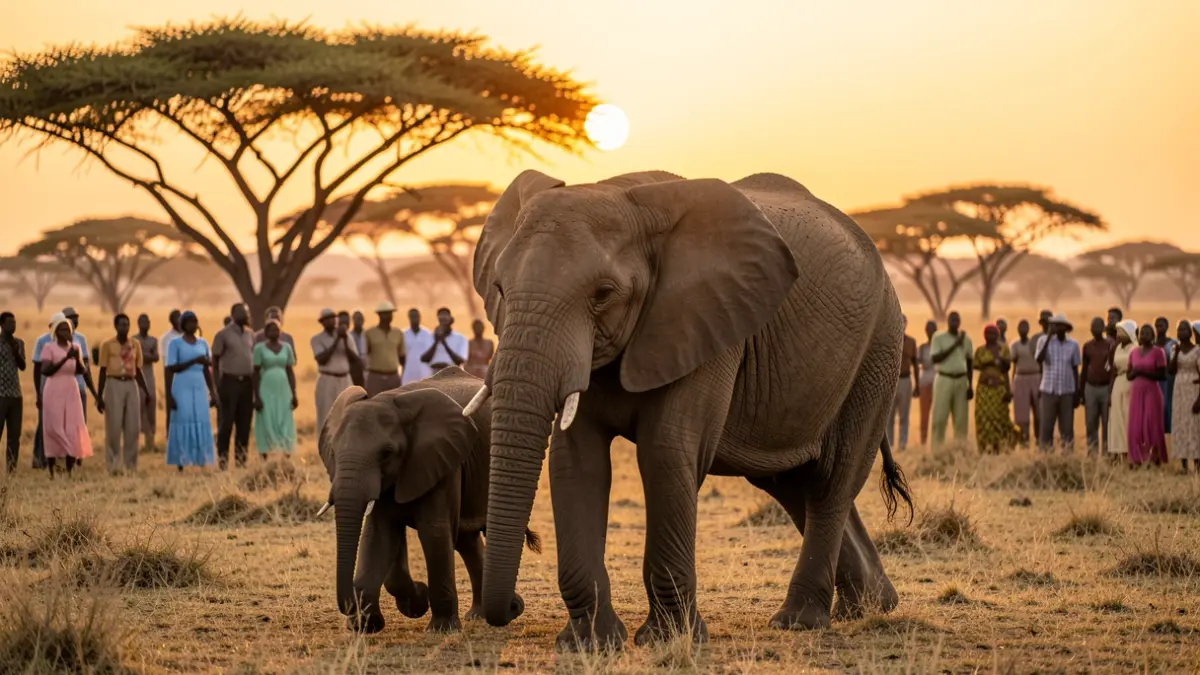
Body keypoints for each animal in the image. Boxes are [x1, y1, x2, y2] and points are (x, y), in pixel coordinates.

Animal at [317, 366, 540, 633]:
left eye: (386, 453)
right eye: (333, 452)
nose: (354, 619)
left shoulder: (442, 462)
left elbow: (434, 531)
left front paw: (440, 628)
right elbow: (379, 535)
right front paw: (374, 623)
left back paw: (501, 610)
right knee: (465, 541)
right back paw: (484, 613)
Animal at [466, 170, 913, 650]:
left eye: (603, 295)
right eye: (499, 289)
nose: (511, 608)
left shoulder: (709, 322)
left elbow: (665, 452)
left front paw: (667, 639)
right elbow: (577, 462)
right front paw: (590, 644)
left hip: (878, 350)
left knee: (831, 482)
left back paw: (800, 621)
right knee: (792, 485)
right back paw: (871, 606)